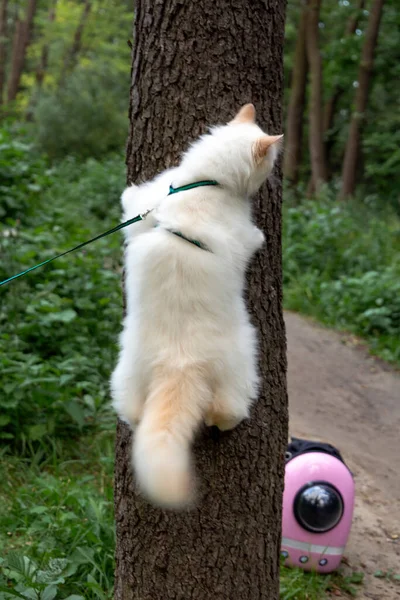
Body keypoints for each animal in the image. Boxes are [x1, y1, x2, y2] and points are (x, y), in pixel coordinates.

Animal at [111, 105, 282, 508]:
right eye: (270, 162)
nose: (274, 177)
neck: (205, 182)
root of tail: (179, 364)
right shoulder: (243, 234)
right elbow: (253, 237)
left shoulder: (144, 207)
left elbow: (130, 200)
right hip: (242, 361)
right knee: (226, 408)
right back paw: (226, 420)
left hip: (126, 373)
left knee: (133, 411)